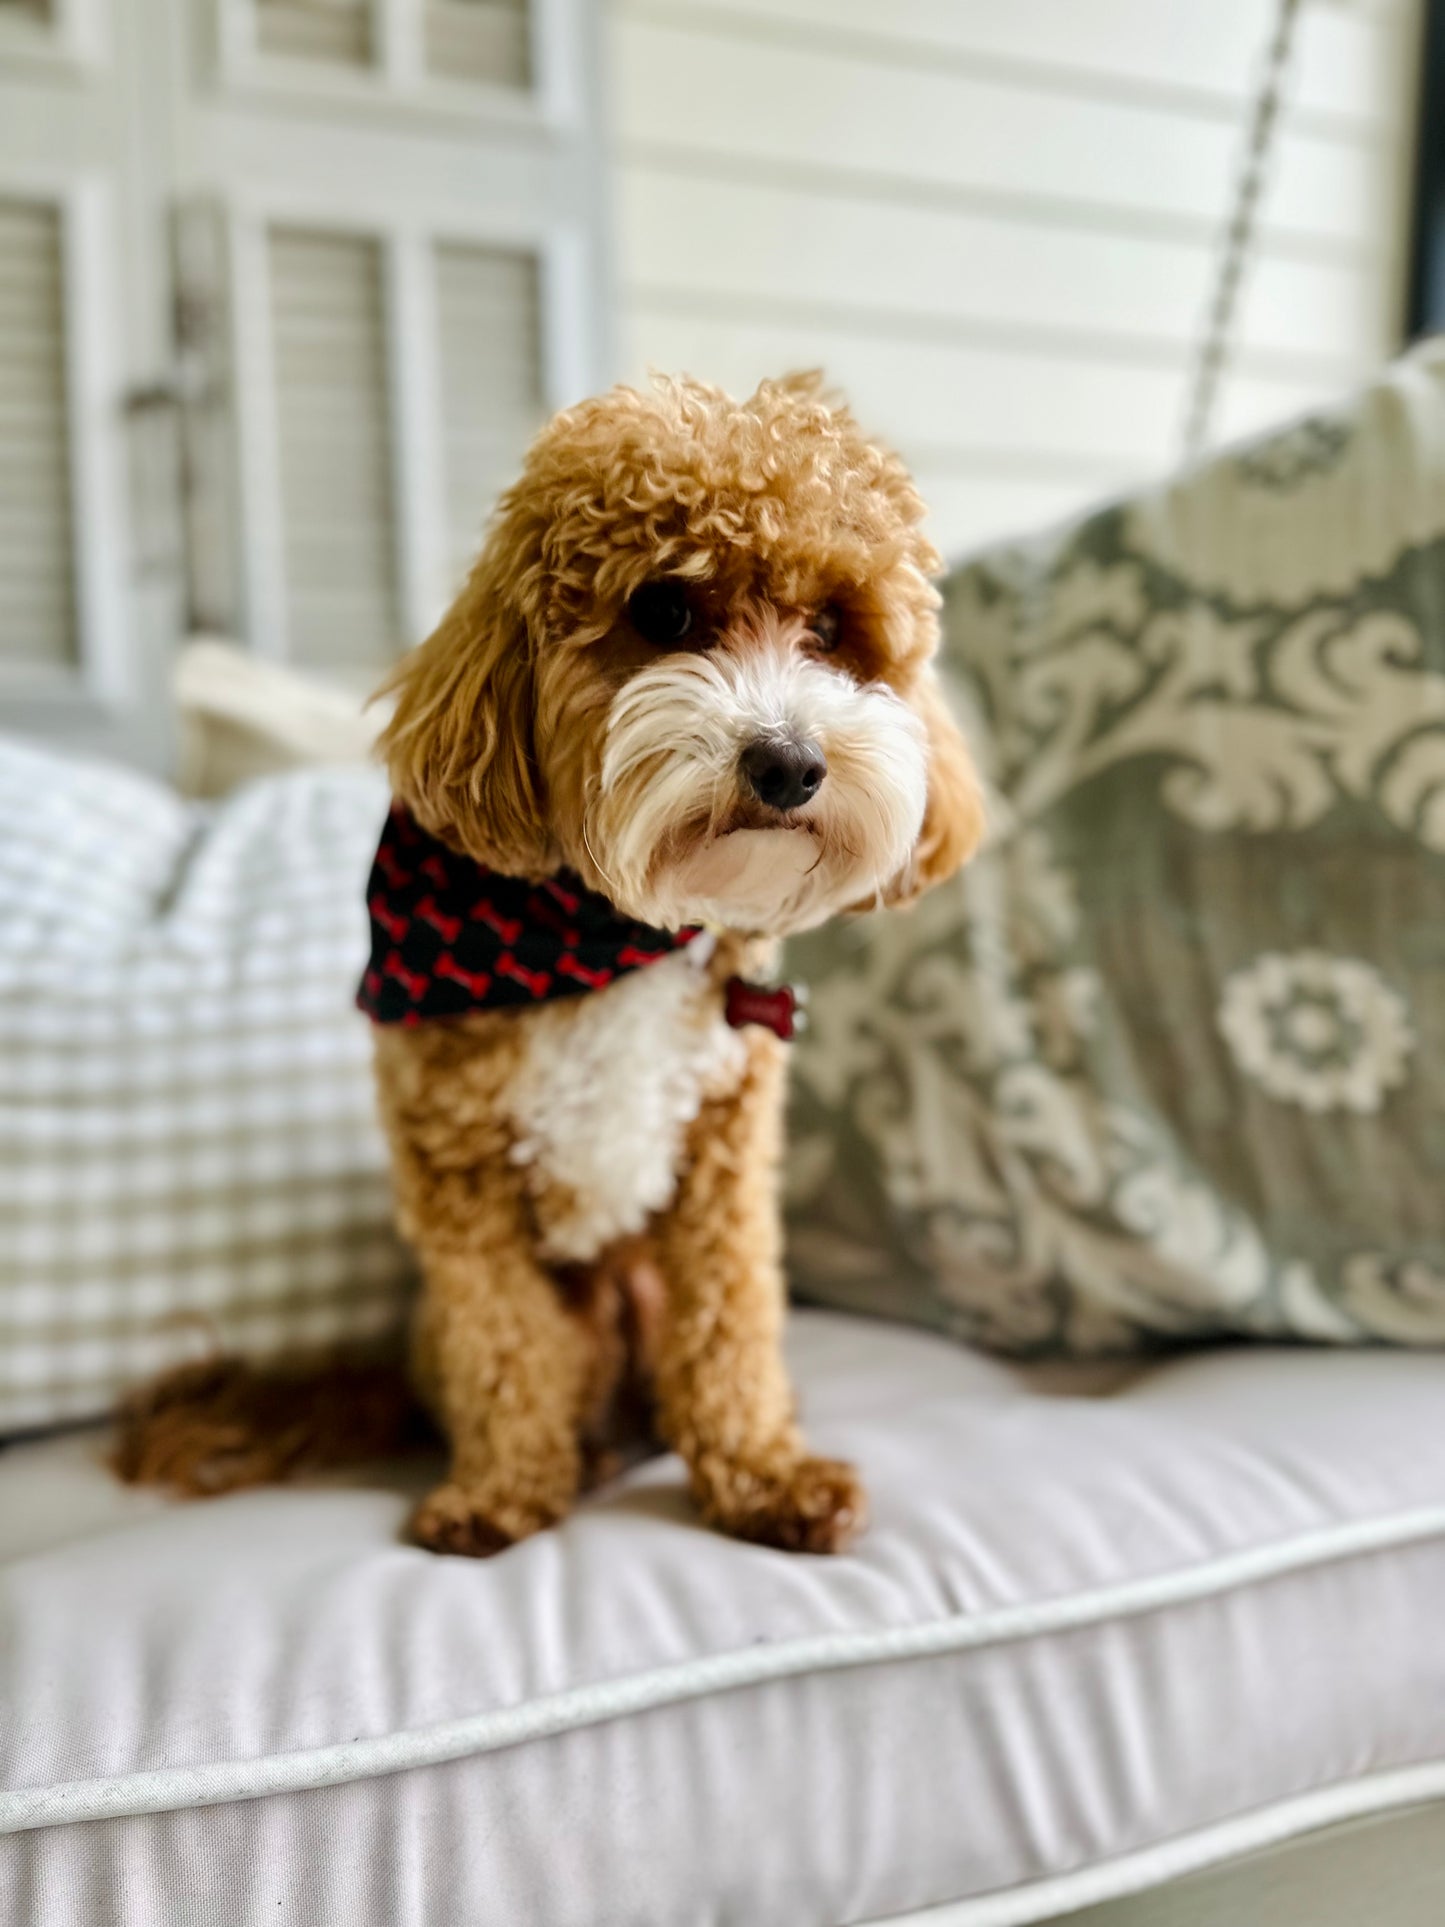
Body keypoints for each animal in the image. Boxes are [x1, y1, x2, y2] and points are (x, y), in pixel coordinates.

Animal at [116, 371, 986, 1549]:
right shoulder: (459, 1174)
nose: (790, 763)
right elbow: (504, 1340)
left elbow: (731, 1324)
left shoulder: (722, 1163)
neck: (608, 935)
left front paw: (763, 1472)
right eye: (663, 611)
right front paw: (497, 1492)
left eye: (829, 628)